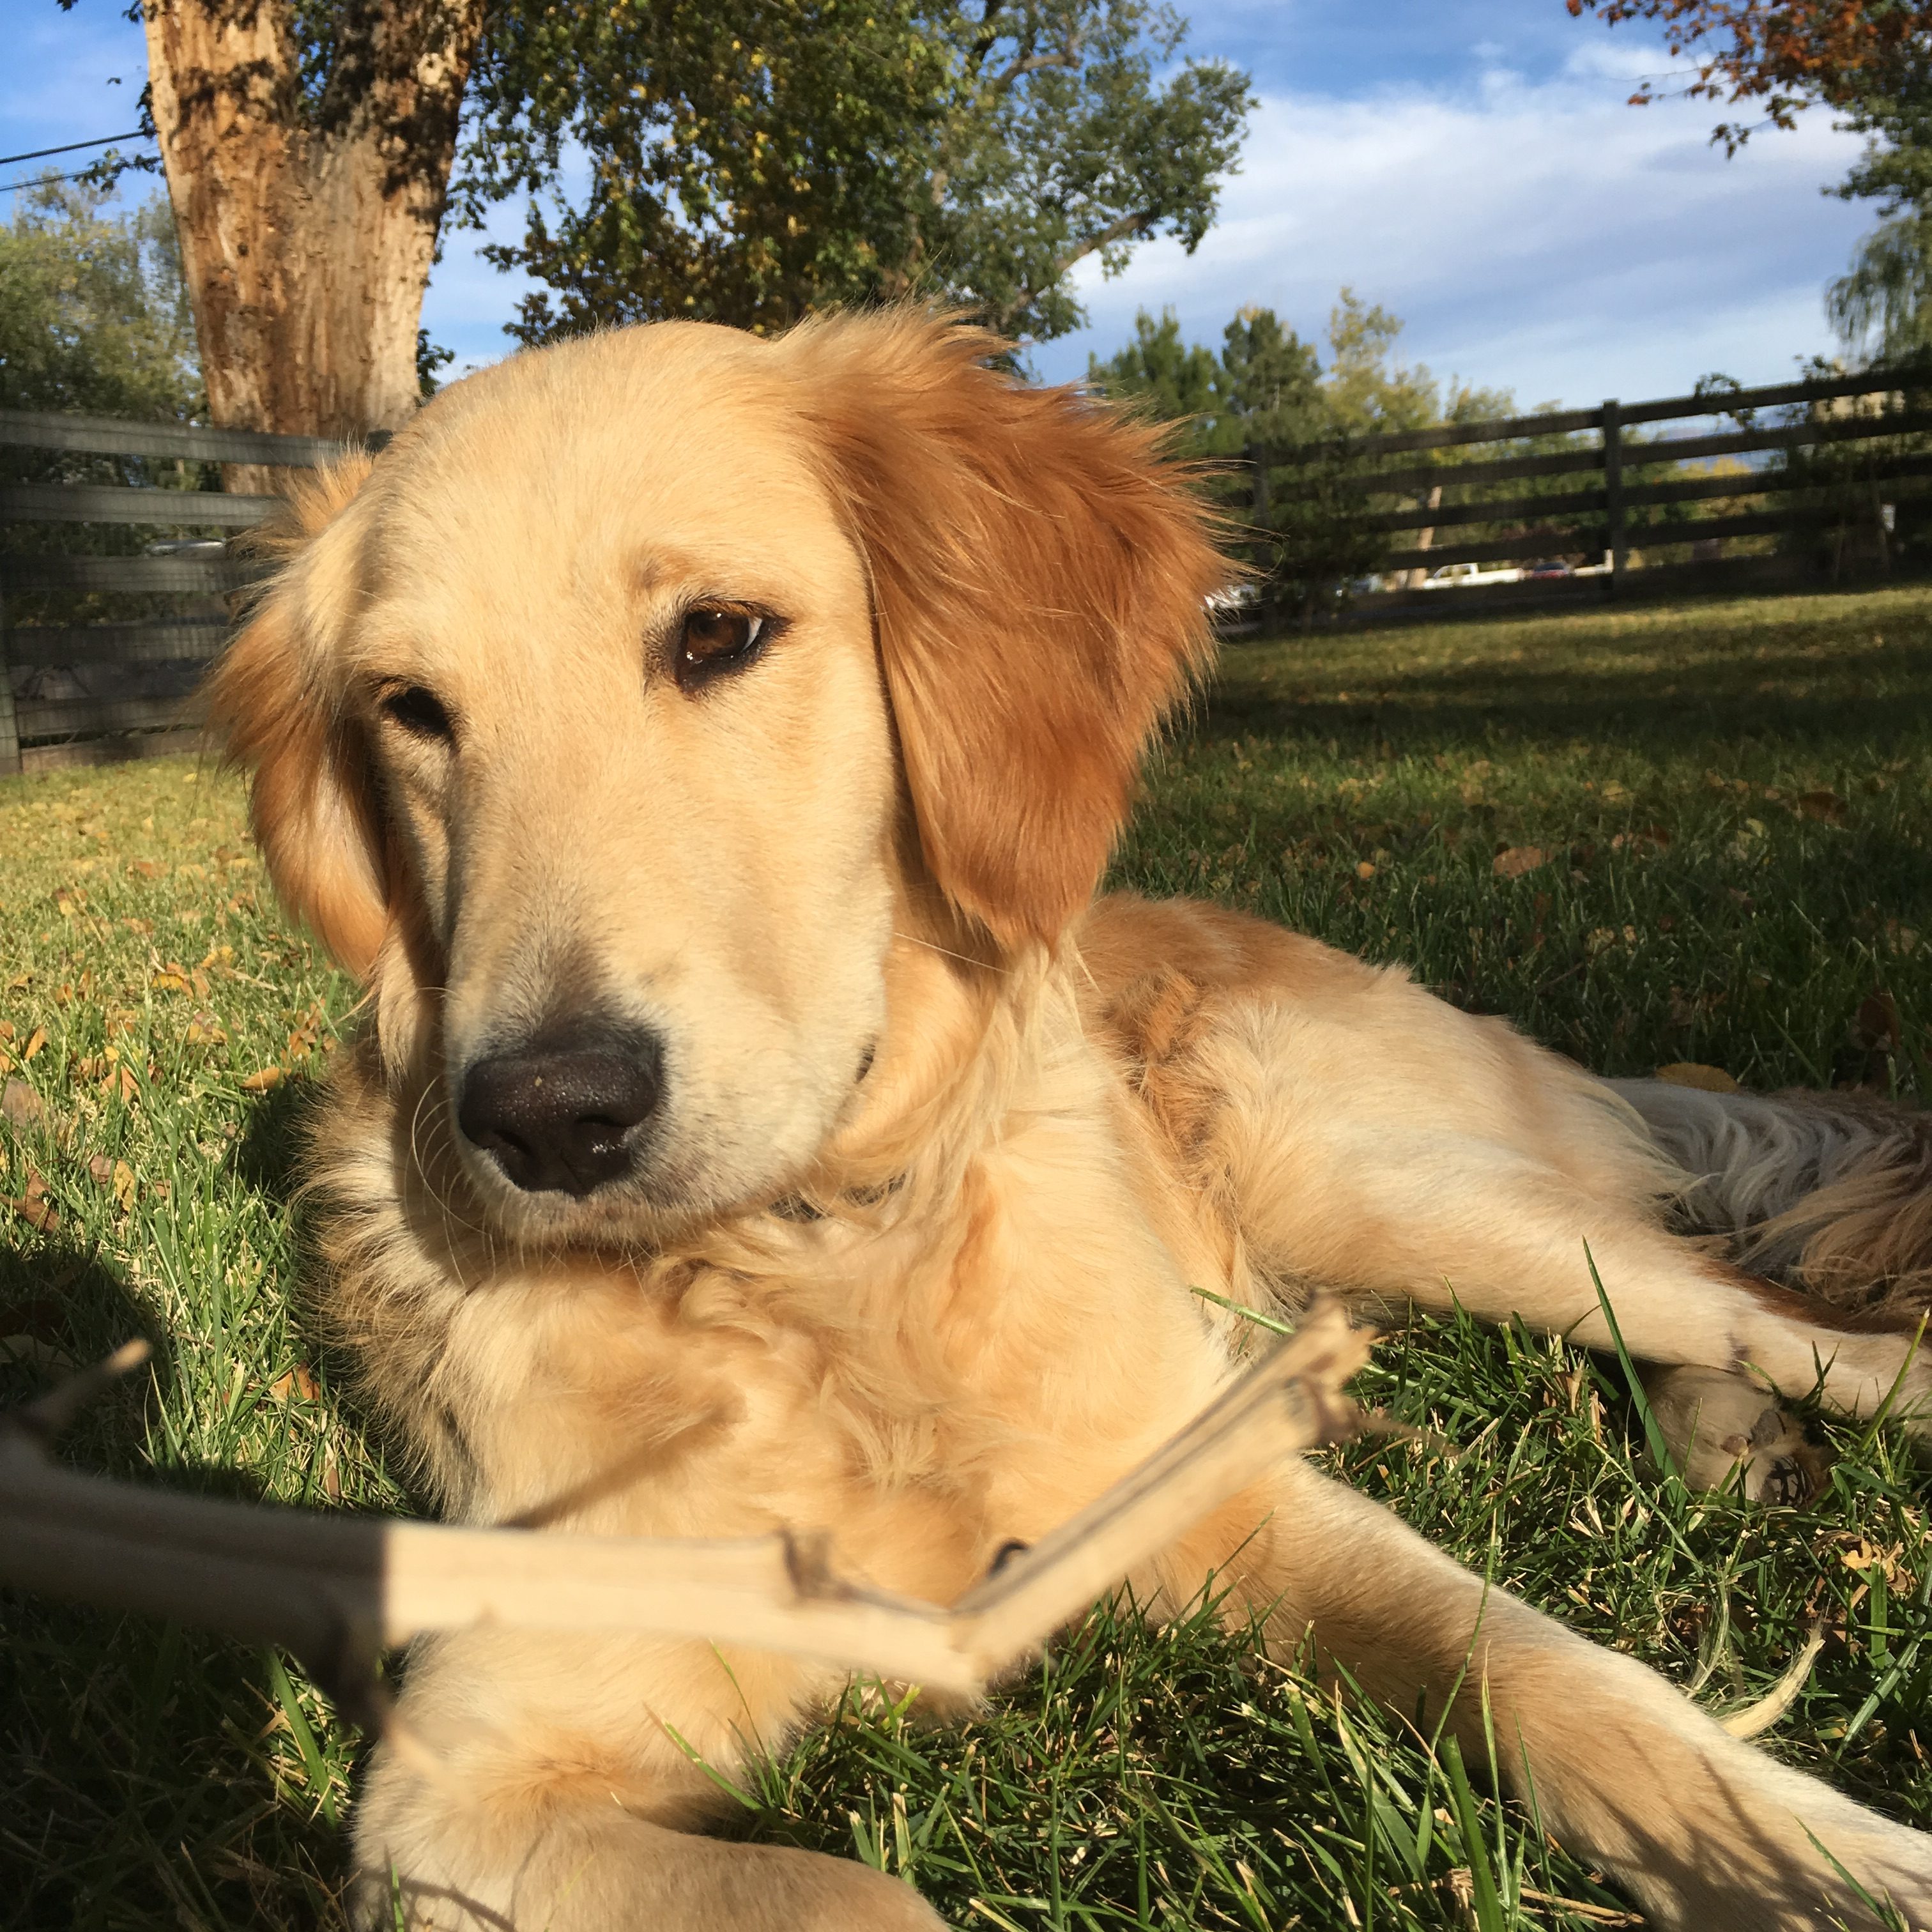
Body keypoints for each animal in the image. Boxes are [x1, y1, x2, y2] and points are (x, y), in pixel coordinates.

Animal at [208, 309, 1932, 1924]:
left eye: (718, 633)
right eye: (411, 710)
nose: (550, 1117)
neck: (832, 1276)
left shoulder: (1208, 1480)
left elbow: (1535, 1662)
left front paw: (1827, 1865)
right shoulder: (457, 1789)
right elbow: (863, 1894)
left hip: (1378, 1182)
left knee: (1785, 1315)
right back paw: (1730, 1440)